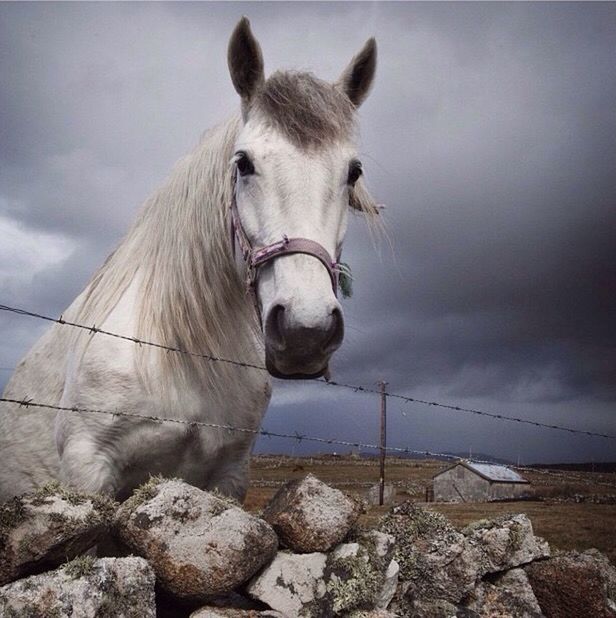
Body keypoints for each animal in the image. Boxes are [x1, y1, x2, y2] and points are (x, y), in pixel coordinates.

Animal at [0, 18, 378, 500]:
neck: (175, 352)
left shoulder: (229, 475)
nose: (305, 332)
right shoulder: (87, 467)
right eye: (243, 163)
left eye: (353, 172)